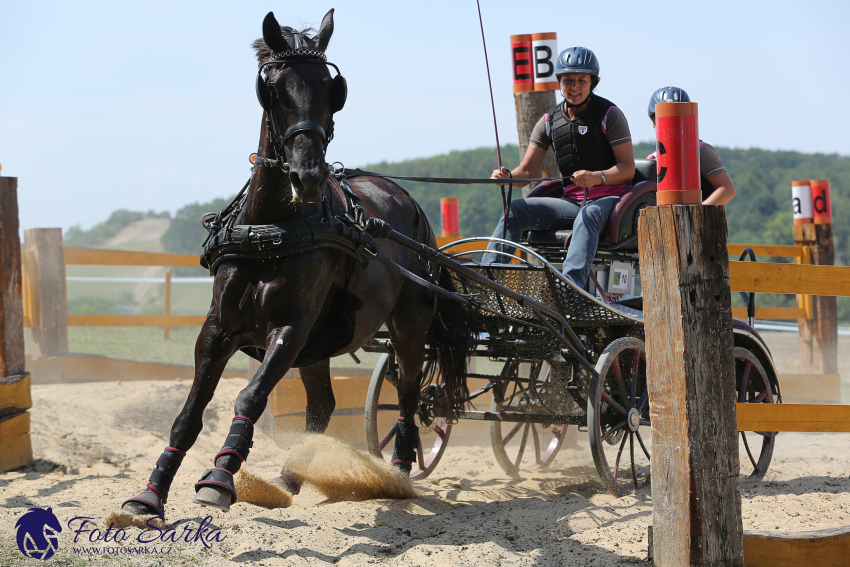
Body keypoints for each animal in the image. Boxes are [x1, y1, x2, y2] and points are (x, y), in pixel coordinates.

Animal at [120, 8, 468, 516]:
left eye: (331, 90)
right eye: (275, 88)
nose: (308, 176)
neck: (272, 229)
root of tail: (407, 202)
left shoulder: (290, 327)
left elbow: (250, 397)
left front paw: (220, 477)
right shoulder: (218, 328)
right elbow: (189, 413)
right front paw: (151, 493)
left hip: (407, 327)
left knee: (409, 393)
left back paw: (400, 472)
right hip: (319, 347)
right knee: (323, 404)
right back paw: (289, 477)